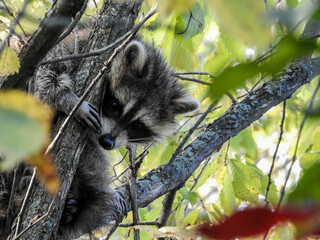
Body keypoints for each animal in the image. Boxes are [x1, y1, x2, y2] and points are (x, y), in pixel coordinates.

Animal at [0, 28, 200, 238]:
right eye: (114, 104)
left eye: (137, 125)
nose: (107, 141)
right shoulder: (74, 47)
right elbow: (45, 74)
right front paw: (68, 99)